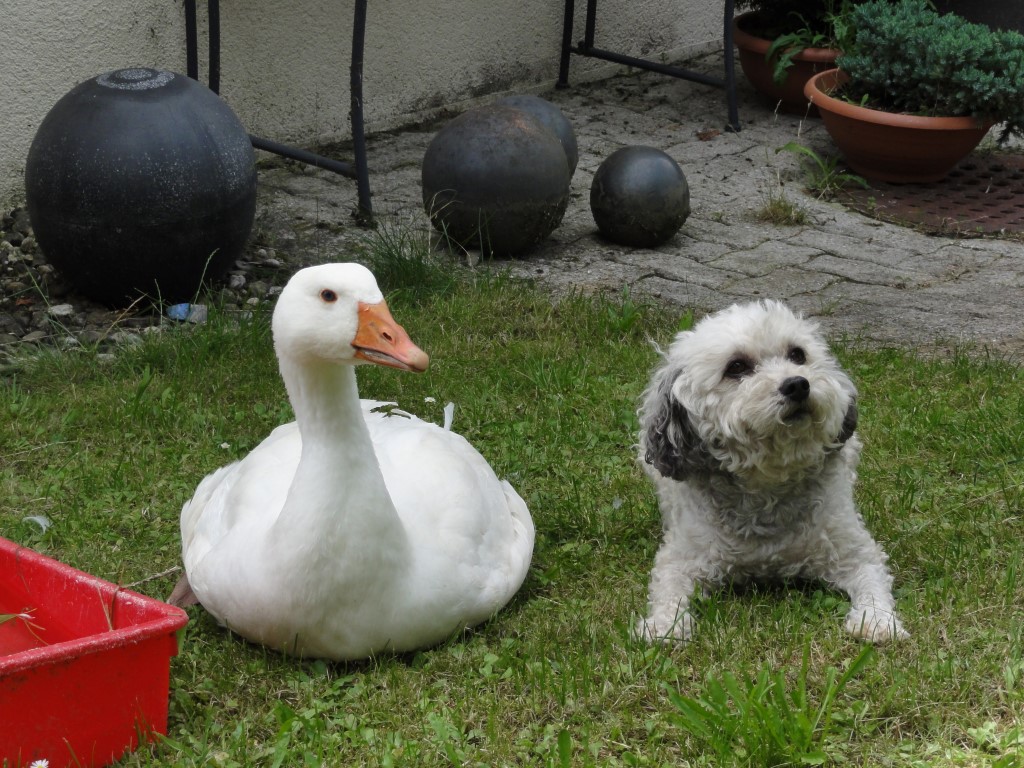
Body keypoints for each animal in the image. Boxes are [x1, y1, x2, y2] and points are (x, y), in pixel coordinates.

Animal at [636, 300, 907, 643]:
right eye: (736, 367)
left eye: (798, 355)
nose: (798, 384)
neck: (768, 485)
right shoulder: (681, 557)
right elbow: (668, 589)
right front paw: (664, 626)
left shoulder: (854, 551)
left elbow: (872, 581)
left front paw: (877, 620)